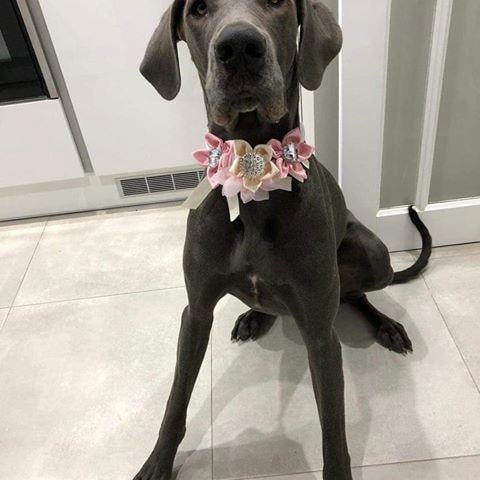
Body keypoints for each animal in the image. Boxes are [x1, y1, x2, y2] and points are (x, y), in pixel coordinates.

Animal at [134, 0, 432, 480]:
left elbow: (333, 429)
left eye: (276, 3)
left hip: (372, 255)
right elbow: (176, 399)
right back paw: (255, 317)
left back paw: (387, 325)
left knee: (355, 294)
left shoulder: (321, 337)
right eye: (198, 9)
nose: (239, 47)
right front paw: (158, 463)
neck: (253, 173)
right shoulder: (195, 312)